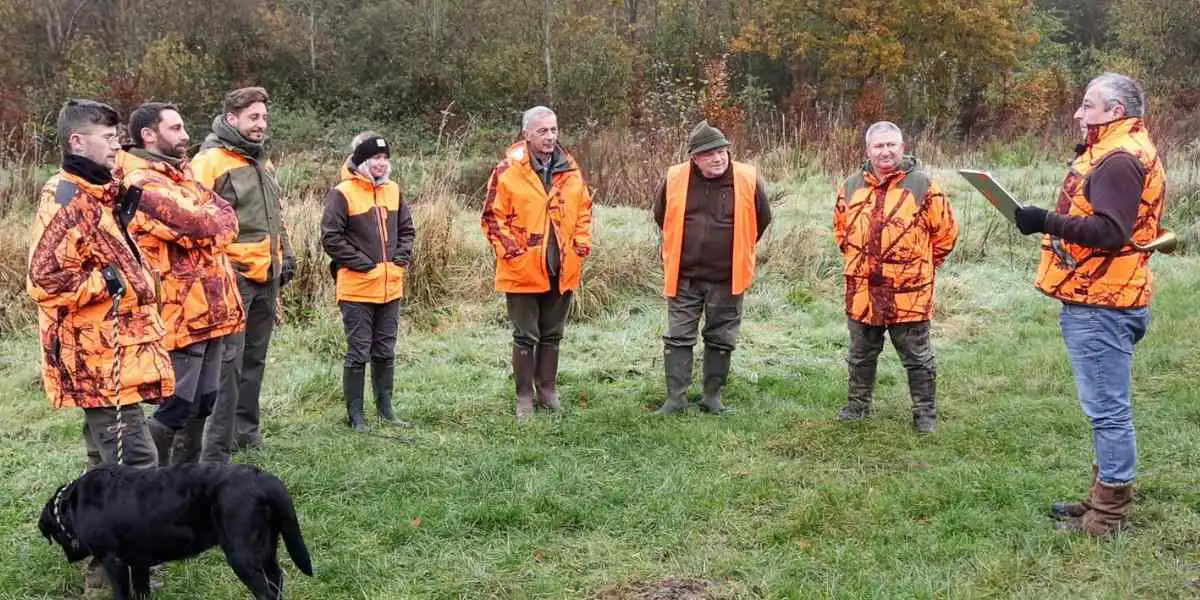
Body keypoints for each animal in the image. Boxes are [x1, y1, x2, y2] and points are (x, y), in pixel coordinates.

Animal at [39, 460, 314, 597]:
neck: (72, 505)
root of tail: (261, 478)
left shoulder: (114, 561)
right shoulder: (138, 562)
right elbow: (142, 593)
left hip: (241, 554)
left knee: (265, 592)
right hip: (267, 547)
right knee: (276, 580)